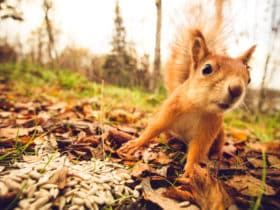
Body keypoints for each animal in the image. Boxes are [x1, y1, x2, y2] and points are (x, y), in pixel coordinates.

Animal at [118, 0, 256, 177]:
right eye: (206, 69)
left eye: (249, 79)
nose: (236, 89)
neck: (198, 106)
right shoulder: (170, 109)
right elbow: (154, 128)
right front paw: (135, 144)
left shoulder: (209, 128)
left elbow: (198, 150)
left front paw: (191, 171)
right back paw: (174, 143)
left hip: (220, 133)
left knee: (217, 146)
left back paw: (217, 155)